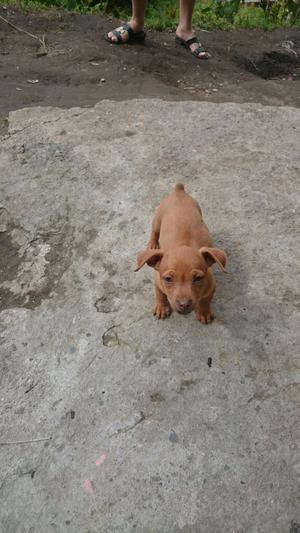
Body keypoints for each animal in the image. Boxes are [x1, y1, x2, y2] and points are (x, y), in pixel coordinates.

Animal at [135, 183, 226, 324]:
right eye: (168, 279)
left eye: (198, 278)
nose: (184, 304)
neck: (183, 245)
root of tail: (179, 190)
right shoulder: (157, 281)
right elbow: (160, 295)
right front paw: (161, 307)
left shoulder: (211, 287)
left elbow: (205, 301)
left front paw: (204, 313)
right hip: (157, 218)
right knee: (154, 231)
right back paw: (153, 243)